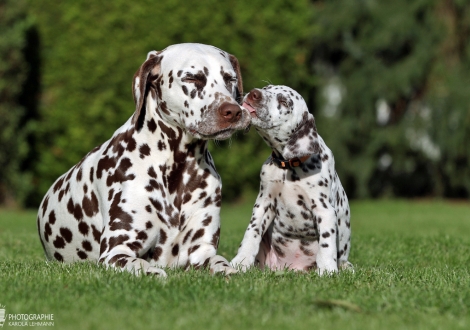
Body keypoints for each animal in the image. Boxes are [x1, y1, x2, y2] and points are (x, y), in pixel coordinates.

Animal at [37, 43, 252, 276]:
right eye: (192, 78)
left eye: (230, 79)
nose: (233, 111)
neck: (177, 168)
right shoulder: (116, 251)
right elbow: (144, 266)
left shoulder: (201, 252)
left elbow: (220, 262)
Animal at [231, 85, 352, 276]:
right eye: (266, 88)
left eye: (284, 102)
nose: (254, 93)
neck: (288, 165)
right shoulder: (263, 204)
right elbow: (251, 233)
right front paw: (240, 262)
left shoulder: (324, 209)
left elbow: (326, 243)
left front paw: (327, 270)